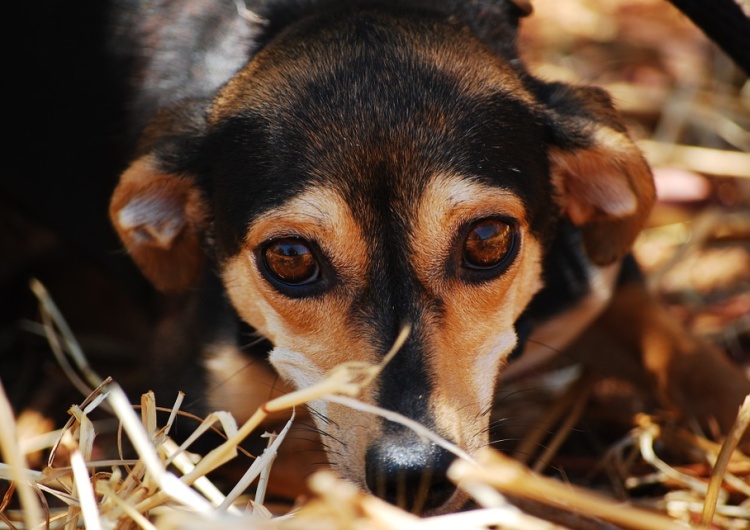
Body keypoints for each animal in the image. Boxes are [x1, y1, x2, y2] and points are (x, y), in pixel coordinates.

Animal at [101, 0, 750, 512]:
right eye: (288, 257)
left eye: (487, 240)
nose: (412, 476)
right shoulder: (201, 430)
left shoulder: (604, 292)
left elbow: (710, 375)